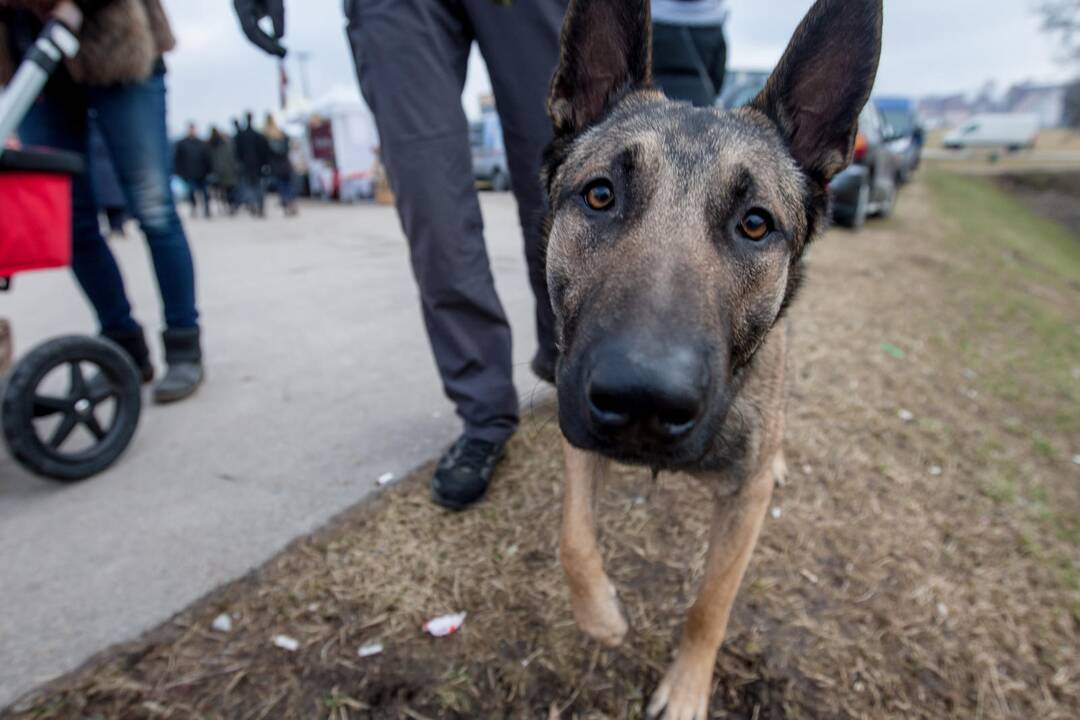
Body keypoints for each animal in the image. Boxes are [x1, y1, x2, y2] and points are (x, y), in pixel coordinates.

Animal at [544, 1, 881, 716]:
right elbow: (573, 539)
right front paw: (601, 615)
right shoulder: (576, 425)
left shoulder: (742, 502)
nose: (642, 401)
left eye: (755, 224)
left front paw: (688, 685)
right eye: (600, 195)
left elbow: (711, 603)